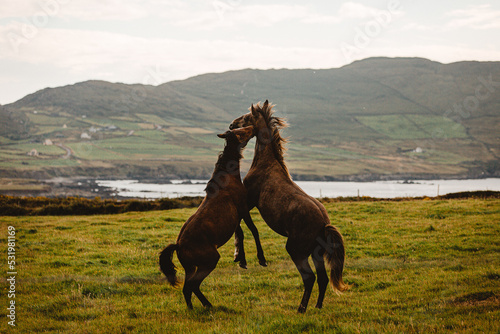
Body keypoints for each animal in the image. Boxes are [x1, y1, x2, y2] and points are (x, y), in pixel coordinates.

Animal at [159, 126, 262, 310]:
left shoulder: (235, 217)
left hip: (190, 267)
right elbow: (253, 230)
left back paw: (194, 308)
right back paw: (208, 306)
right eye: (240, 131)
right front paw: (261, 259)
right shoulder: (243, 208)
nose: (254, 127)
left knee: (187, 288)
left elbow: (240, 234)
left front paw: (241, 260)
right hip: (210, 260)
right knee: (193, 285)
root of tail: (178, 246)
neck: (229, 175)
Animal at [230, 100, 348, 314]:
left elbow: (244, 226)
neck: (266, 164)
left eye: (246, 116)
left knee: (309, 278)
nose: (231, 125)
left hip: (296, 250)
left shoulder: (248, 201)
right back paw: (317, 306)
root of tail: (323, 224)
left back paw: (301, 308)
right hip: (315, 254)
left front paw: (242, 258)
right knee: (323, 279)